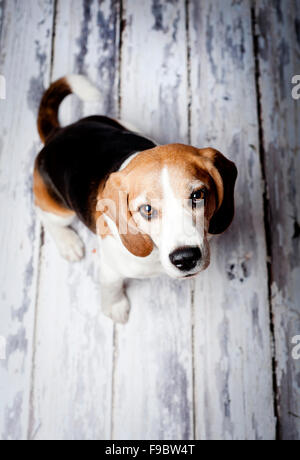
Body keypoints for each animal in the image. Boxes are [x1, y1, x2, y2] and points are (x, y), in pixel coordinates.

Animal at [33, 76, 237, 324]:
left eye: (198, 195)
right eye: (146, 209)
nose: (185, 258)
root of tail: (58, 133)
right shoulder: (110, 267)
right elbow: (111, 287)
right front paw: (115, 306)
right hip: (61, 209)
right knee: (46, 215)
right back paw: (67, 242)